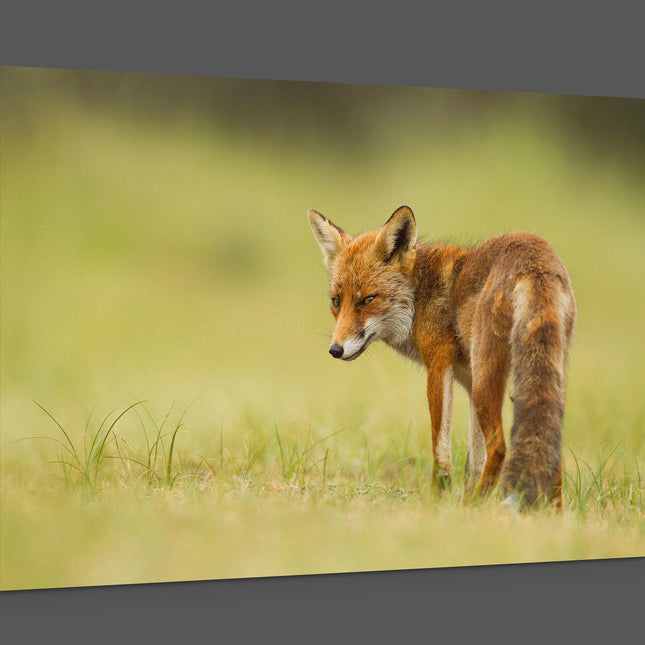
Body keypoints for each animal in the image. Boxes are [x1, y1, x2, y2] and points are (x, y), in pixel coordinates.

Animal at [308, 205, 576, 510]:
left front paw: (440, 500)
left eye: (367, 300)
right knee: (551, 449)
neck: (420, 295)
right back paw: (551, 513)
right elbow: (473, 461)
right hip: (538, 378)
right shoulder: (468, 382)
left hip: (486, 382)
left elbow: (441, 449)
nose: (335, 350)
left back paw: (474, 505)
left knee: (499, 447)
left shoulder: (438, 364)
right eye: (336, 301)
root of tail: (535, 256)